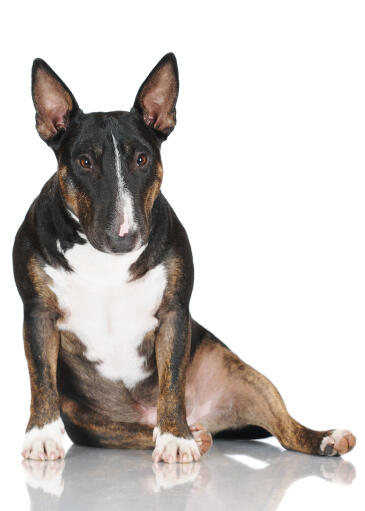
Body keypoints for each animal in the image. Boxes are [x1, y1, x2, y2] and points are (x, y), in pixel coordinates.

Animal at [13, 54, 356, 462]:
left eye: (142, 159)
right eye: (84, 162)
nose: (124, 237)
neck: (107, 263)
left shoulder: (173, 313)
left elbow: (172, 381)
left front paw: (176, 438)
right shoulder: (38, 313)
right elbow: (40, 379)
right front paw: (41, 437)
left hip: (244, 376)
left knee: (285, 430)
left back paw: (323, 438)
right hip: (91, 423)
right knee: (135, 432)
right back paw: (192, 435)